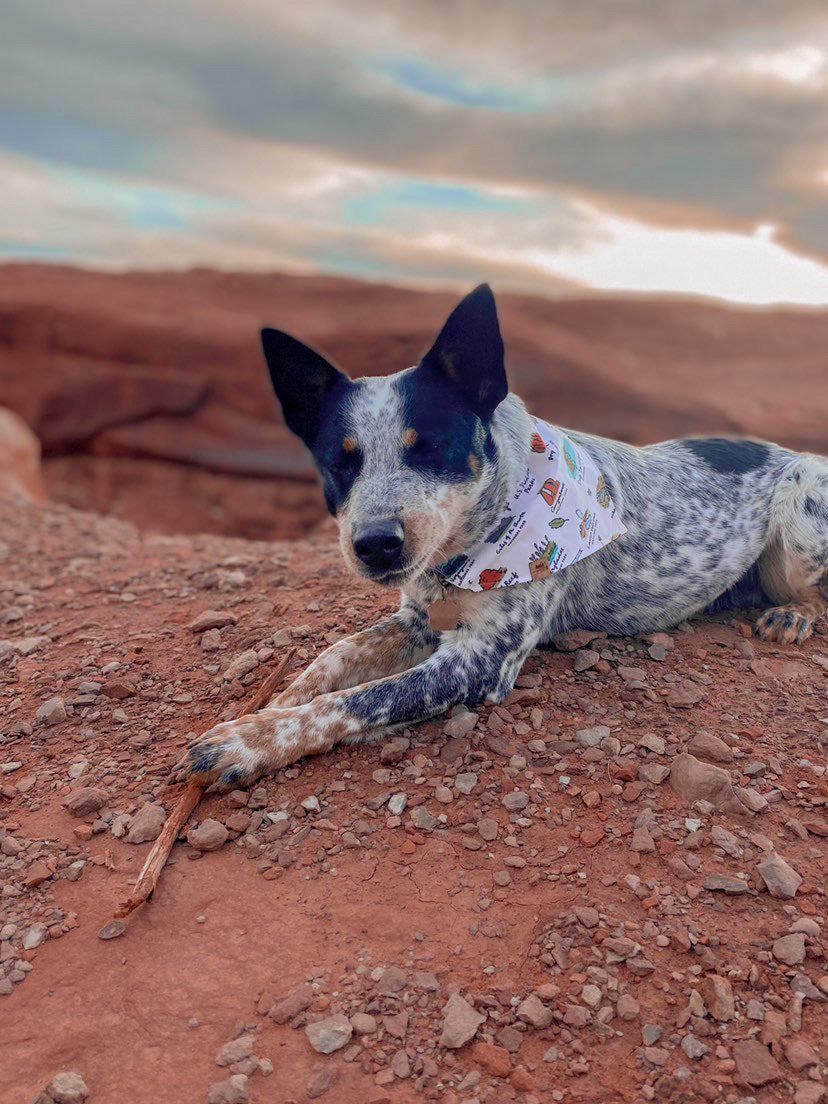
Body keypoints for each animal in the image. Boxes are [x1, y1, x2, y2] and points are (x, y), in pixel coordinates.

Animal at [175, 282, 828, 786]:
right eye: (341, 462)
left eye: (430, 447)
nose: (376, 545)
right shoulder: (416, 616)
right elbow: (331, 658)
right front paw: (269, 706)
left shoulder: (482, 660)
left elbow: (360, 699)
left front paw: (248, 743)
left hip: (802, 502)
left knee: (815, 593)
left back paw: (791, 615)